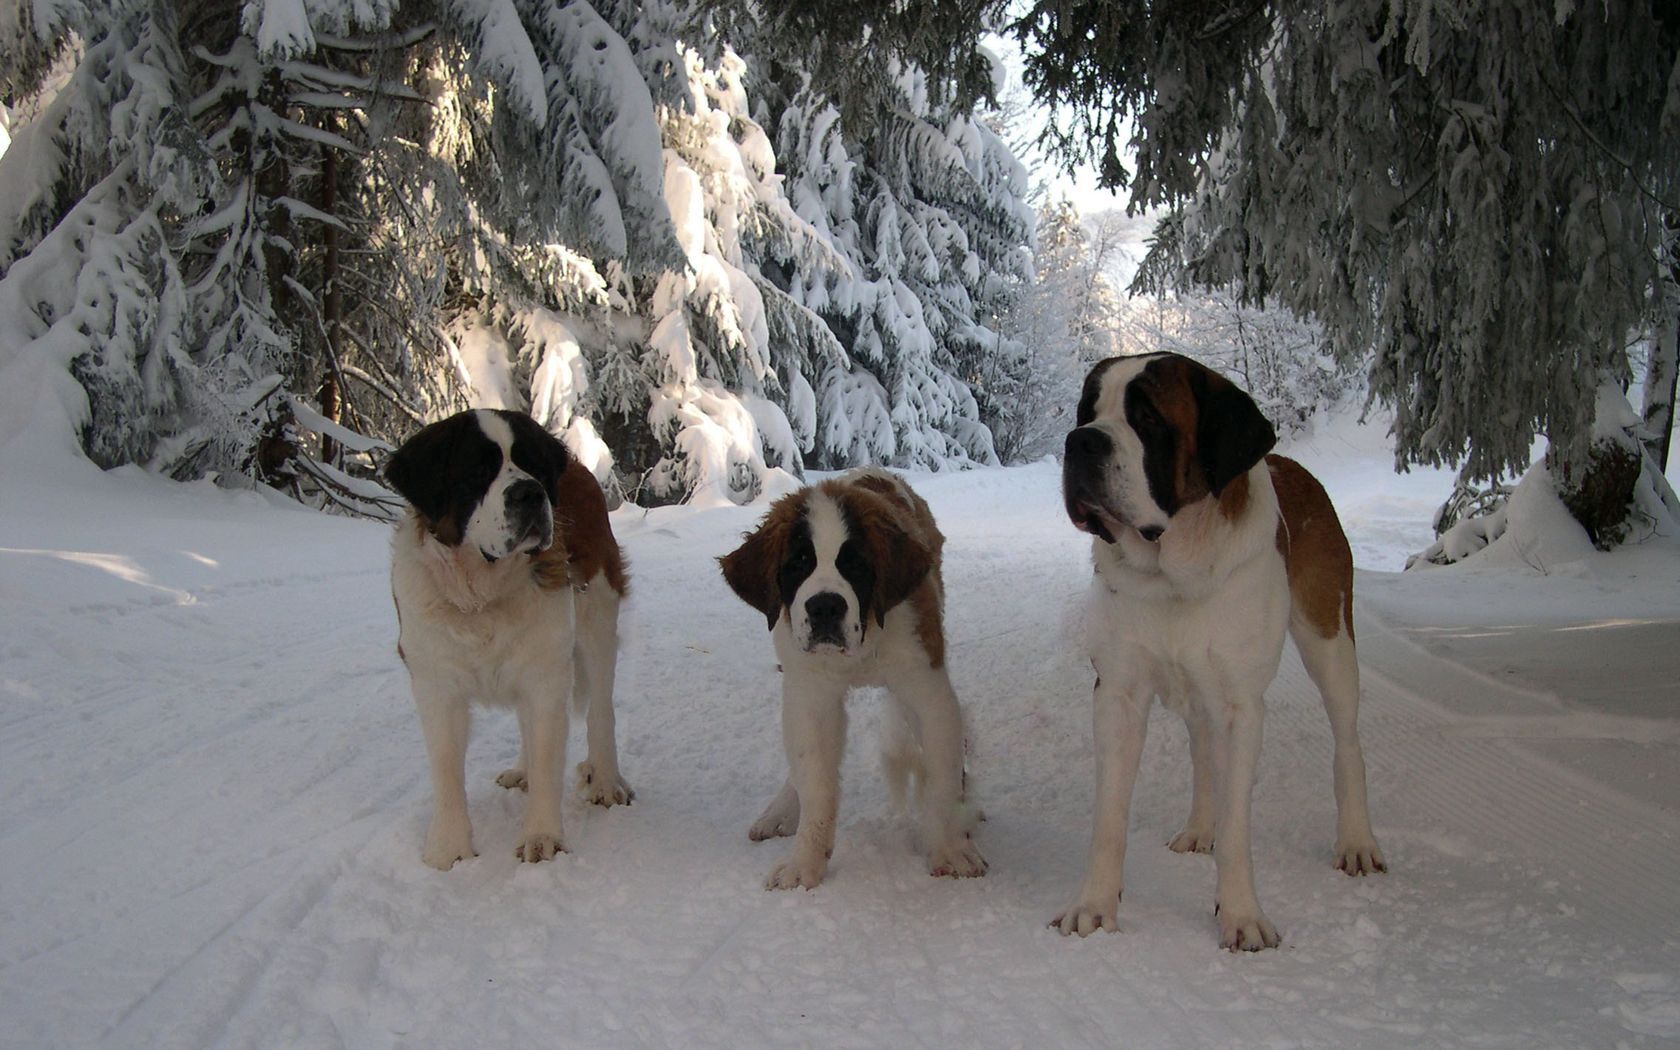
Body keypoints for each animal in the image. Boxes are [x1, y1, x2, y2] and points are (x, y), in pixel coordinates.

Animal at [386, 409, 635, 866]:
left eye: (532, 464)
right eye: (476, 471)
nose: (530, 493)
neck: (482, 596)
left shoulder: (547, 675)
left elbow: (549, 758)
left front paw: (542, 839)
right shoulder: (435, 683)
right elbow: (446, 766)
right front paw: (448, 851)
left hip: (597, 615)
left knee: (600, 710)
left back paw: (607, 781)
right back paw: (522, 769)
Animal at [719, 470, 981, 887]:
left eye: (855, 564)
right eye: (798, 564)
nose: (825, 607)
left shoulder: (927, 688)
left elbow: (940, 775)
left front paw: (950, 850)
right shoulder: (809, 695)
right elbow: (816, 783)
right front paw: (805, 865)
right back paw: (780, 810)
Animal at [1055, 352, 1384, 947]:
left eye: (1148, 417)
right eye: (1086, 411)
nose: (1080, 441)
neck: (1172, 574)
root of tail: (1292, 466)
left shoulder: (1240, 705)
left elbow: (1238, 825)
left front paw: (1242, 917)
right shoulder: (1117, 692)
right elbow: (1109, 816)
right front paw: (1093, 906)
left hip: (1329, 640)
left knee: (1347, 740)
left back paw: (1356, 841)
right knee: (1202, 748)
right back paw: (1197, 828)